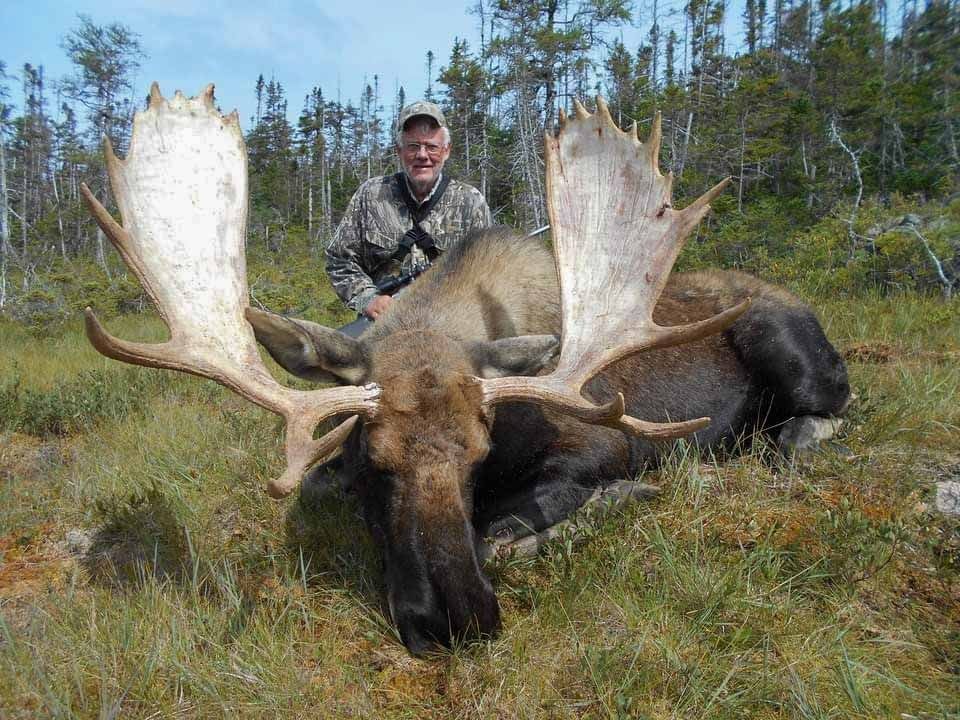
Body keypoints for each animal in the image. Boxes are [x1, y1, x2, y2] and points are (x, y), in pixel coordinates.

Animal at [81, 84, 849, 656]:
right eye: (373, 464)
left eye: (481, 453)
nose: (456, 621)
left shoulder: (599, 445)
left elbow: (504, 537)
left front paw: (620, 499)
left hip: (785, 344)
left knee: (824, 414)